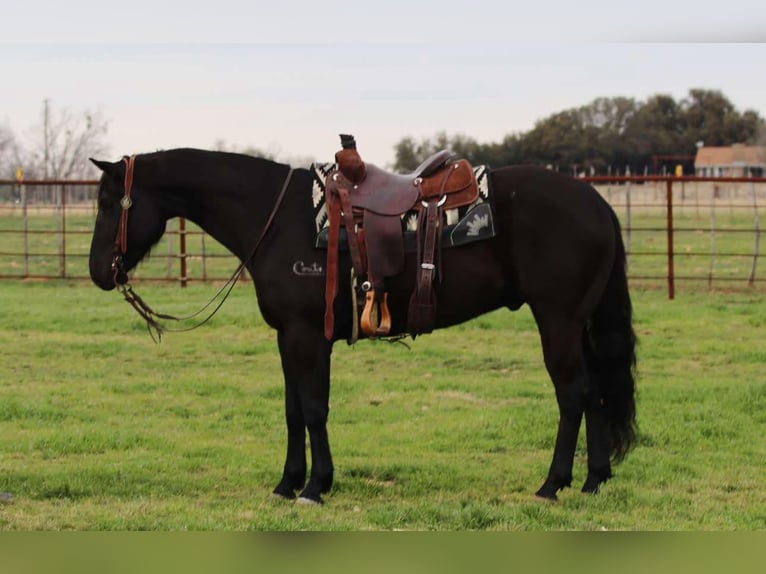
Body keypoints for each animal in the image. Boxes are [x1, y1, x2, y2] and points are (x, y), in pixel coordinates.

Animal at [90, 147, 640, 504]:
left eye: (109, 203)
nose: (98, 272)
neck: (279, 219)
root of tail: (596, 203)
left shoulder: (308, 336)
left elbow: (314, 409)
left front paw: (316, 487)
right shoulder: (287, 337)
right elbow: (293, 411)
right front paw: (288, 483)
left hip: (558, 322)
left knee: (573, 394)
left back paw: (553, 485)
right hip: (577, 324)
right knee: (595, 393)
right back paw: (594, 479)